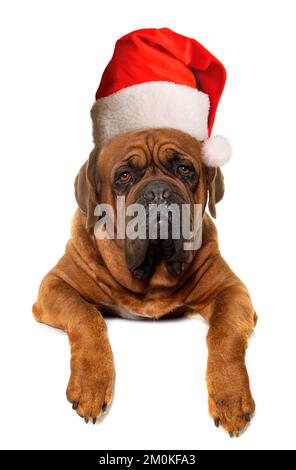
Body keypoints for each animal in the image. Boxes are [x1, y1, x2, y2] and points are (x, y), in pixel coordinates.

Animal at [31, 126, 254, 436]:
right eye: (124, 176)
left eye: (184, 169)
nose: (158, 191)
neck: (152, 276)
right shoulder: (54, 285)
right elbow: (86, 315)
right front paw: (91, 382)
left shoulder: (232, 291)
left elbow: (224, 332)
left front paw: (230, 395)